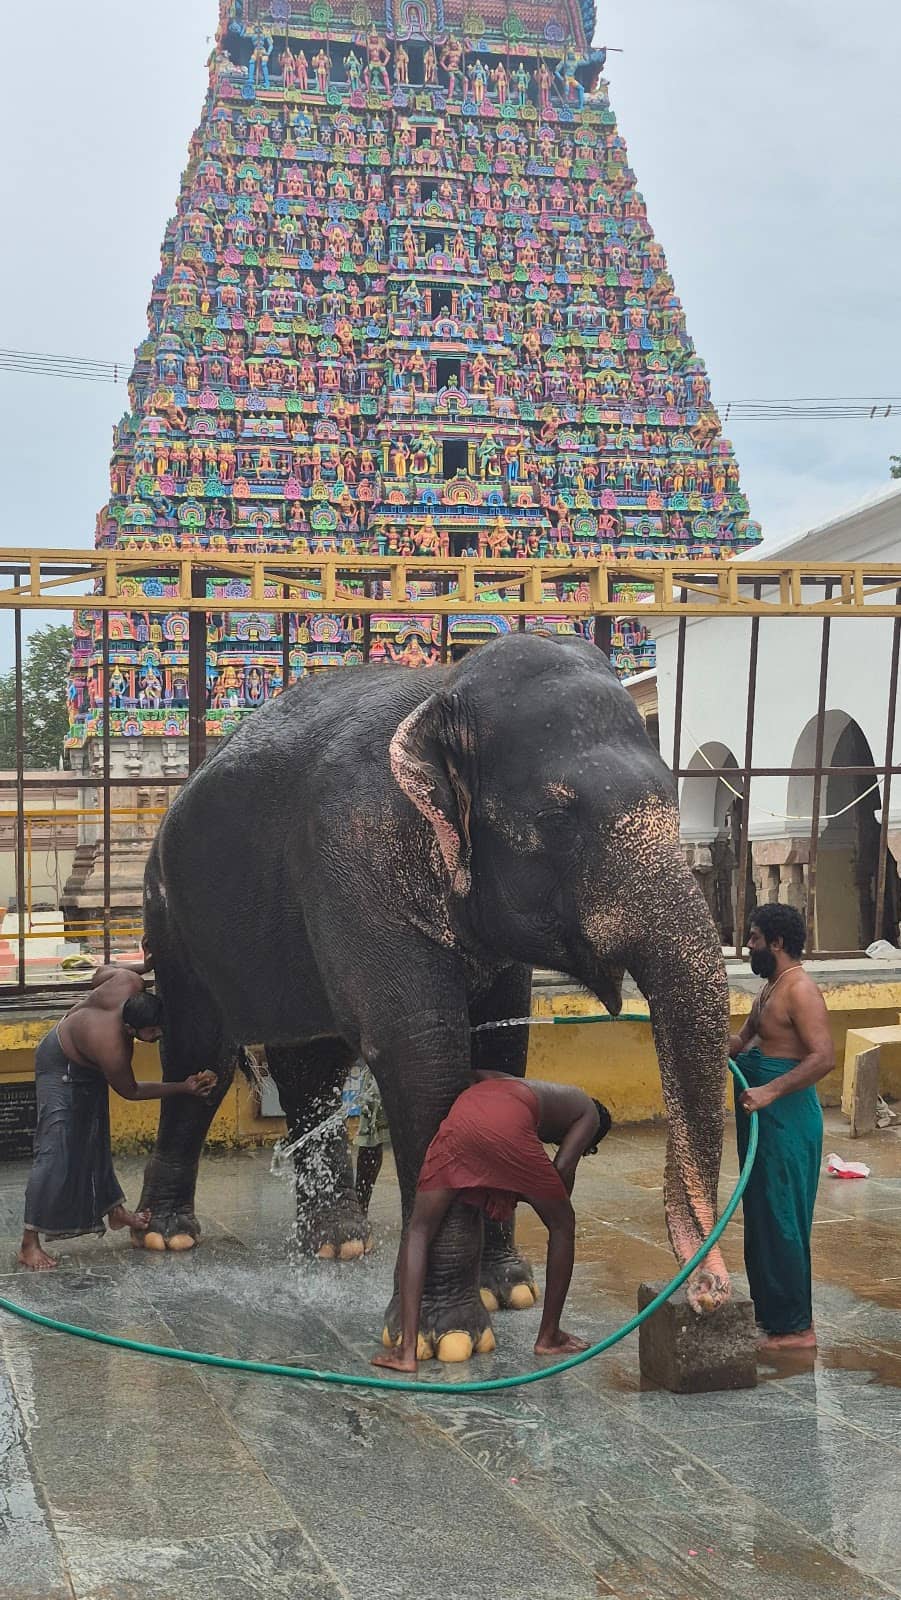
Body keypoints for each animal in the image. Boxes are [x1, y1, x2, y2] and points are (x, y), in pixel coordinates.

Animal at [137, 632, 731, 1361]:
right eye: (556, 818)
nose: (706, 1296)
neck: (443, 693)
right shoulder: (354, 852)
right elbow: (422, 1053)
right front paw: (447, 1340)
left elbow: (500, 1052)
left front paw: (509, 1293)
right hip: (172, 918)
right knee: (203, 1058)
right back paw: (169, 1236)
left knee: (309, 1062)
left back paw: (337, 1244)